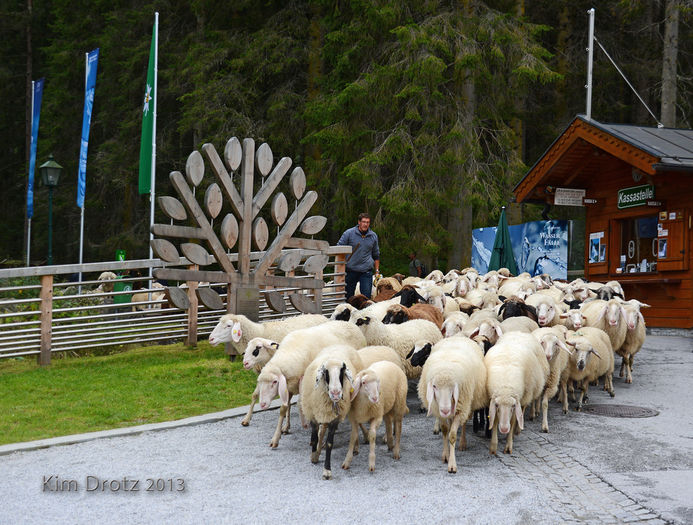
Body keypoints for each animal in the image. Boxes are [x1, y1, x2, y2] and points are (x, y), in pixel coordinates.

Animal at [298, 344, 364, 478]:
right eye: (326, 372)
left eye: (342, 371)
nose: (336, 393)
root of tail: (341, 344)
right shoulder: (312, 414)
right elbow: (314, 437)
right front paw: (314, 456)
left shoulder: (335, 419)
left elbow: (329, 443)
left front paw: (327, 470)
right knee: (322, 430)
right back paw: (318, 450)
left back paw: (355, 447)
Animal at [416, 336, 486, 474]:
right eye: (434, 386)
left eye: (453, 387)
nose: (445, 410)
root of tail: (458, 336)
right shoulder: (438, 410)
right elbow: (444, 430)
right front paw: (445, 455)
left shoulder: (460, 408)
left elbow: (452, 436)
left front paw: (452, 465)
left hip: (466, 403)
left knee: (463, 422)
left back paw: (463, 443)